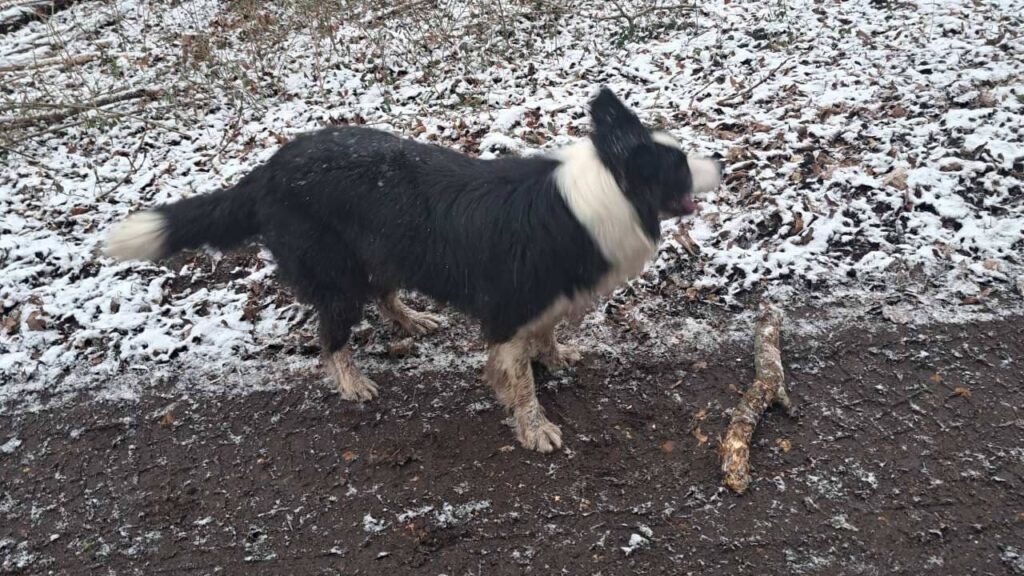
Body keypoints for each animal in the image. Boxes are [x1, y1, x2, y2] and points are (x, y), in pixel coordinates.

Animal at [103, 87, 720, 450]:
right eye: (680, 164)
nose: (721, 159)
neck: (605, 191)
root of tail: (267, 170)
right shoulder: (507, 312)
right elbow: (518, 379)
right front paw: (535, 426)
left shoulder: (542, 300)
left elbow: (544, 335)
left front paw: (556, 356)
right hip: (338, 275)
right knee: (330, 336)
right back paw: (352, 383)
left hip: (381, 251)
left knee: (383, 294)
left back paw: (411, 321)